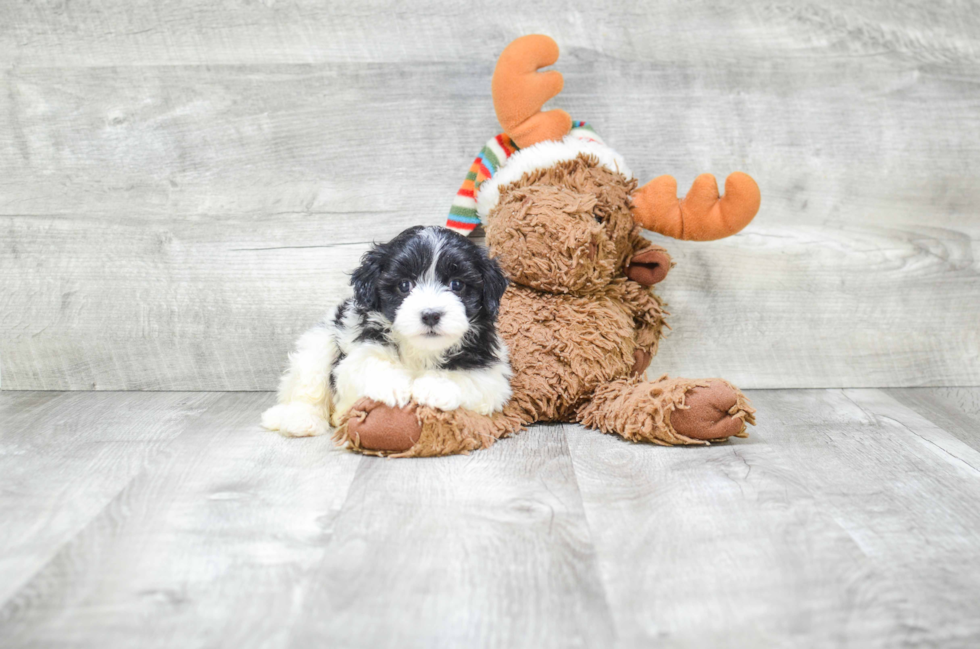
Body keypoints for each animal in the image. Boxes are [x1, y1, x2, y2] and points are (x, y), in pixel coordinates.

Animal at [260, 225, 512, 438]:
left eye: (457, 284)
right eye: (404, 285)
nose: (431, 314)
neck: (421, 350)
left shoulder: (492, 373)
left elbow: (473, 379)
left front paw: (434, 388)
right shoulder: (359, 350)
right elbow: (369, 364)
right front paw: (393, 386)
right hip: (320, 342)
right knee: (309, 384)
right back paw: (300, 419)